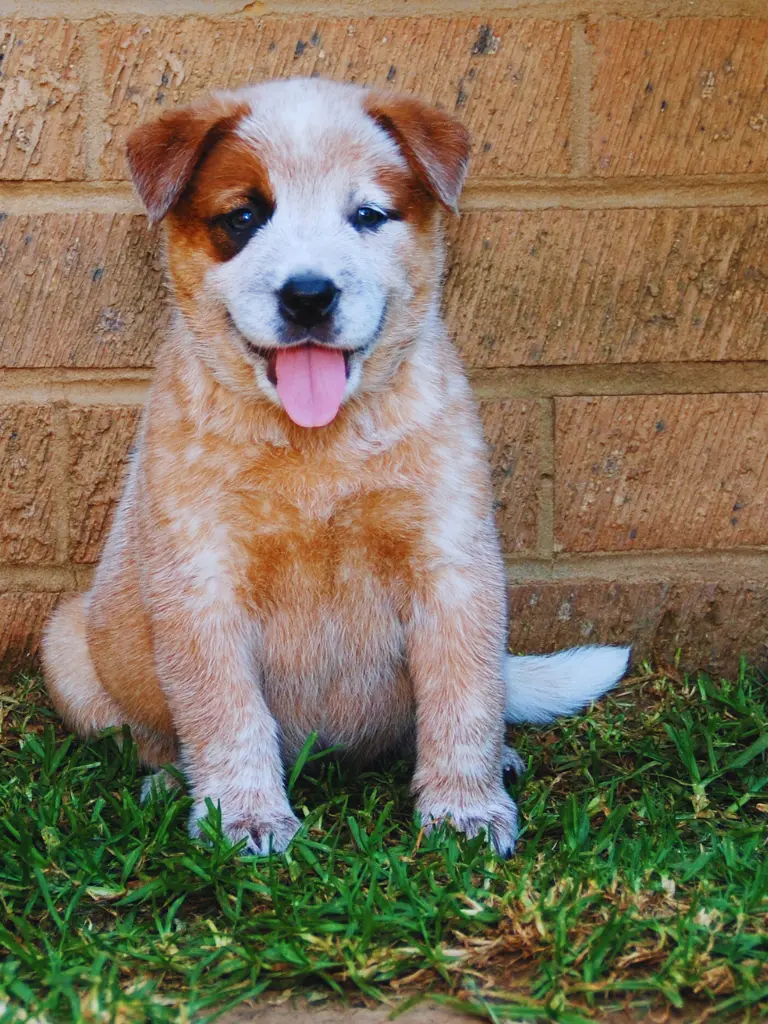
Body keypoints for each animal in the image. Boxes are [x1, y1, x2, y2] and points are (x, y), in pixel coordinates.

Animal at [41, 77, 630, 856]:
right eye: (244, 216)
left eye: (367, 215)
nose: (309, 294)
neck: (316, 449)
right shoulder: (201, 580)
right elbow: (225, 713)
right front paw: (245, 819)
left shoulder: (451, 563)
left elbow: (465, 697)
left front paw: (465, 808)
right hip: (69, 645)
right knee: (153, 735)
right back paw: (168, 783)